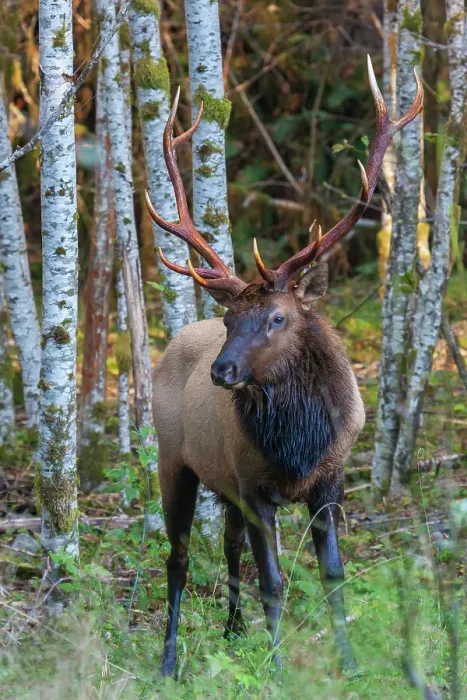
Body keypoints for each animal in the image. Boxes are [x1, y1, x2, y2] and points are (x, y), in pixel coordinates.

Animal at [147, 56, 423, 678]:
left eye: (277, 317)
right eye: (229, 320)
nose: (221, 372)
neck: (298, 442)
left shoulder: (330, 479)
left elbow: (333, 574)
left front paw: (349, 664)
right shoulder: (255, 488)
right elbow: (272, 582)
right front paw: (275, 669)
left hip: (222, 482)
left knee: (226, 547)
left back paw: (231, 631)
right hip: (175, 460)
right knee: (178, 559)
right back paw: (169, 660)